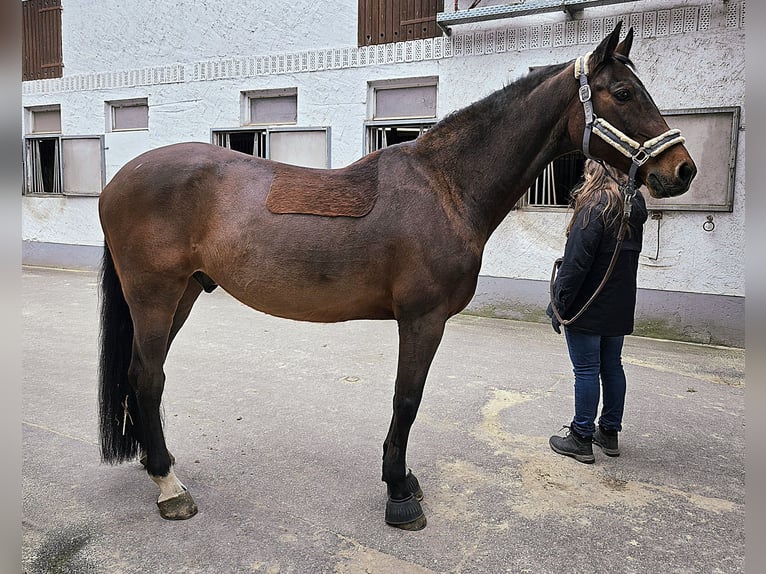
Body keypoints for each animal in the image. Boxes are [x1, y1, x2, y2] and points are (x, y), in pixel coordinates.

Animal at [98, 22, 696, 530]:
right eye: (623, 92)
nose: (683, 169)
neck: (446, 187)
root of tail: (119, 180)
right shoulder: (422, 319)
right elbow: (406, 400)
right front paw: (399, 494)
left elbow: (407, 400)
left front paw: (402, 479)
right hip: (156, 297)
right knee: (147, 378)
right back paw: (170, 487)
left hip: (183, 294)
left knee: (142, 374)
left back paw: (157, 465)